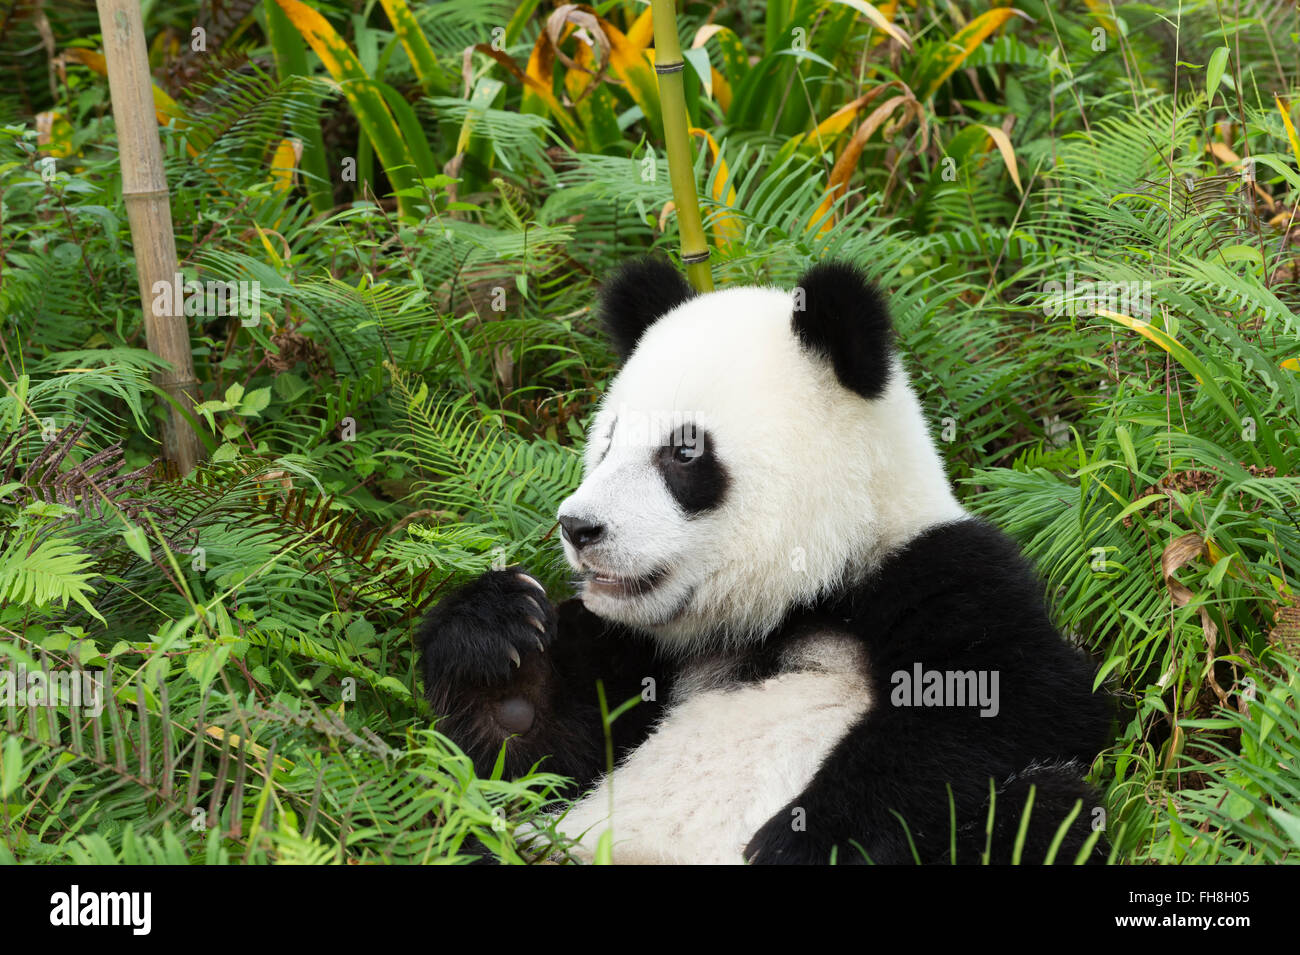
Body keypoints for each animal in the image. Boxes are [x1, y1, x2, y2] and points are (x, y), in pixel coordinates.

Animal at [421, 259, 1112, 867]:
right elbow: (527, 762)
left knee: (1044, 812)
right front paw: (497, 632)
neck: (789, 604)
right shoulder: (634, 653)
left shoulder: (941, 573)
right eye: (609, 442)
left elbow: (1013, 707)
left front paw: (803, 840)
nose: (579, 526)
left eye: (684, 453)